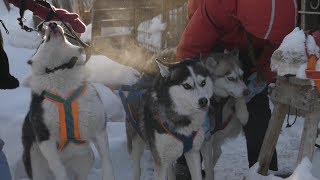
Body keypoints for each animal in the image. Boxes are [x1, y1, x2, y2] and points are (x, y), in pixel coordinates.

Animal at [21, 22, 114, 180]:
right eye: (42, 40)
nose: (52, 23)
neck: (60, 69)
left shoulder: (98, 126)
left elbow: (106, 157)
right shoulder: (45, 137)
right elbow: (58, 168)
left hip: (85, 159)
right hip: (37, 164)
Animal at [201, 51, 249, 179]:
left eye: (242, 75)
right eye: (230, 78)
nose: (247, 92)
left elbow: (238, 98)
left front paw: (243, 114)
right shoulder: (206, 142)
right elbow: (209, 168)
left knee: (218, 153)